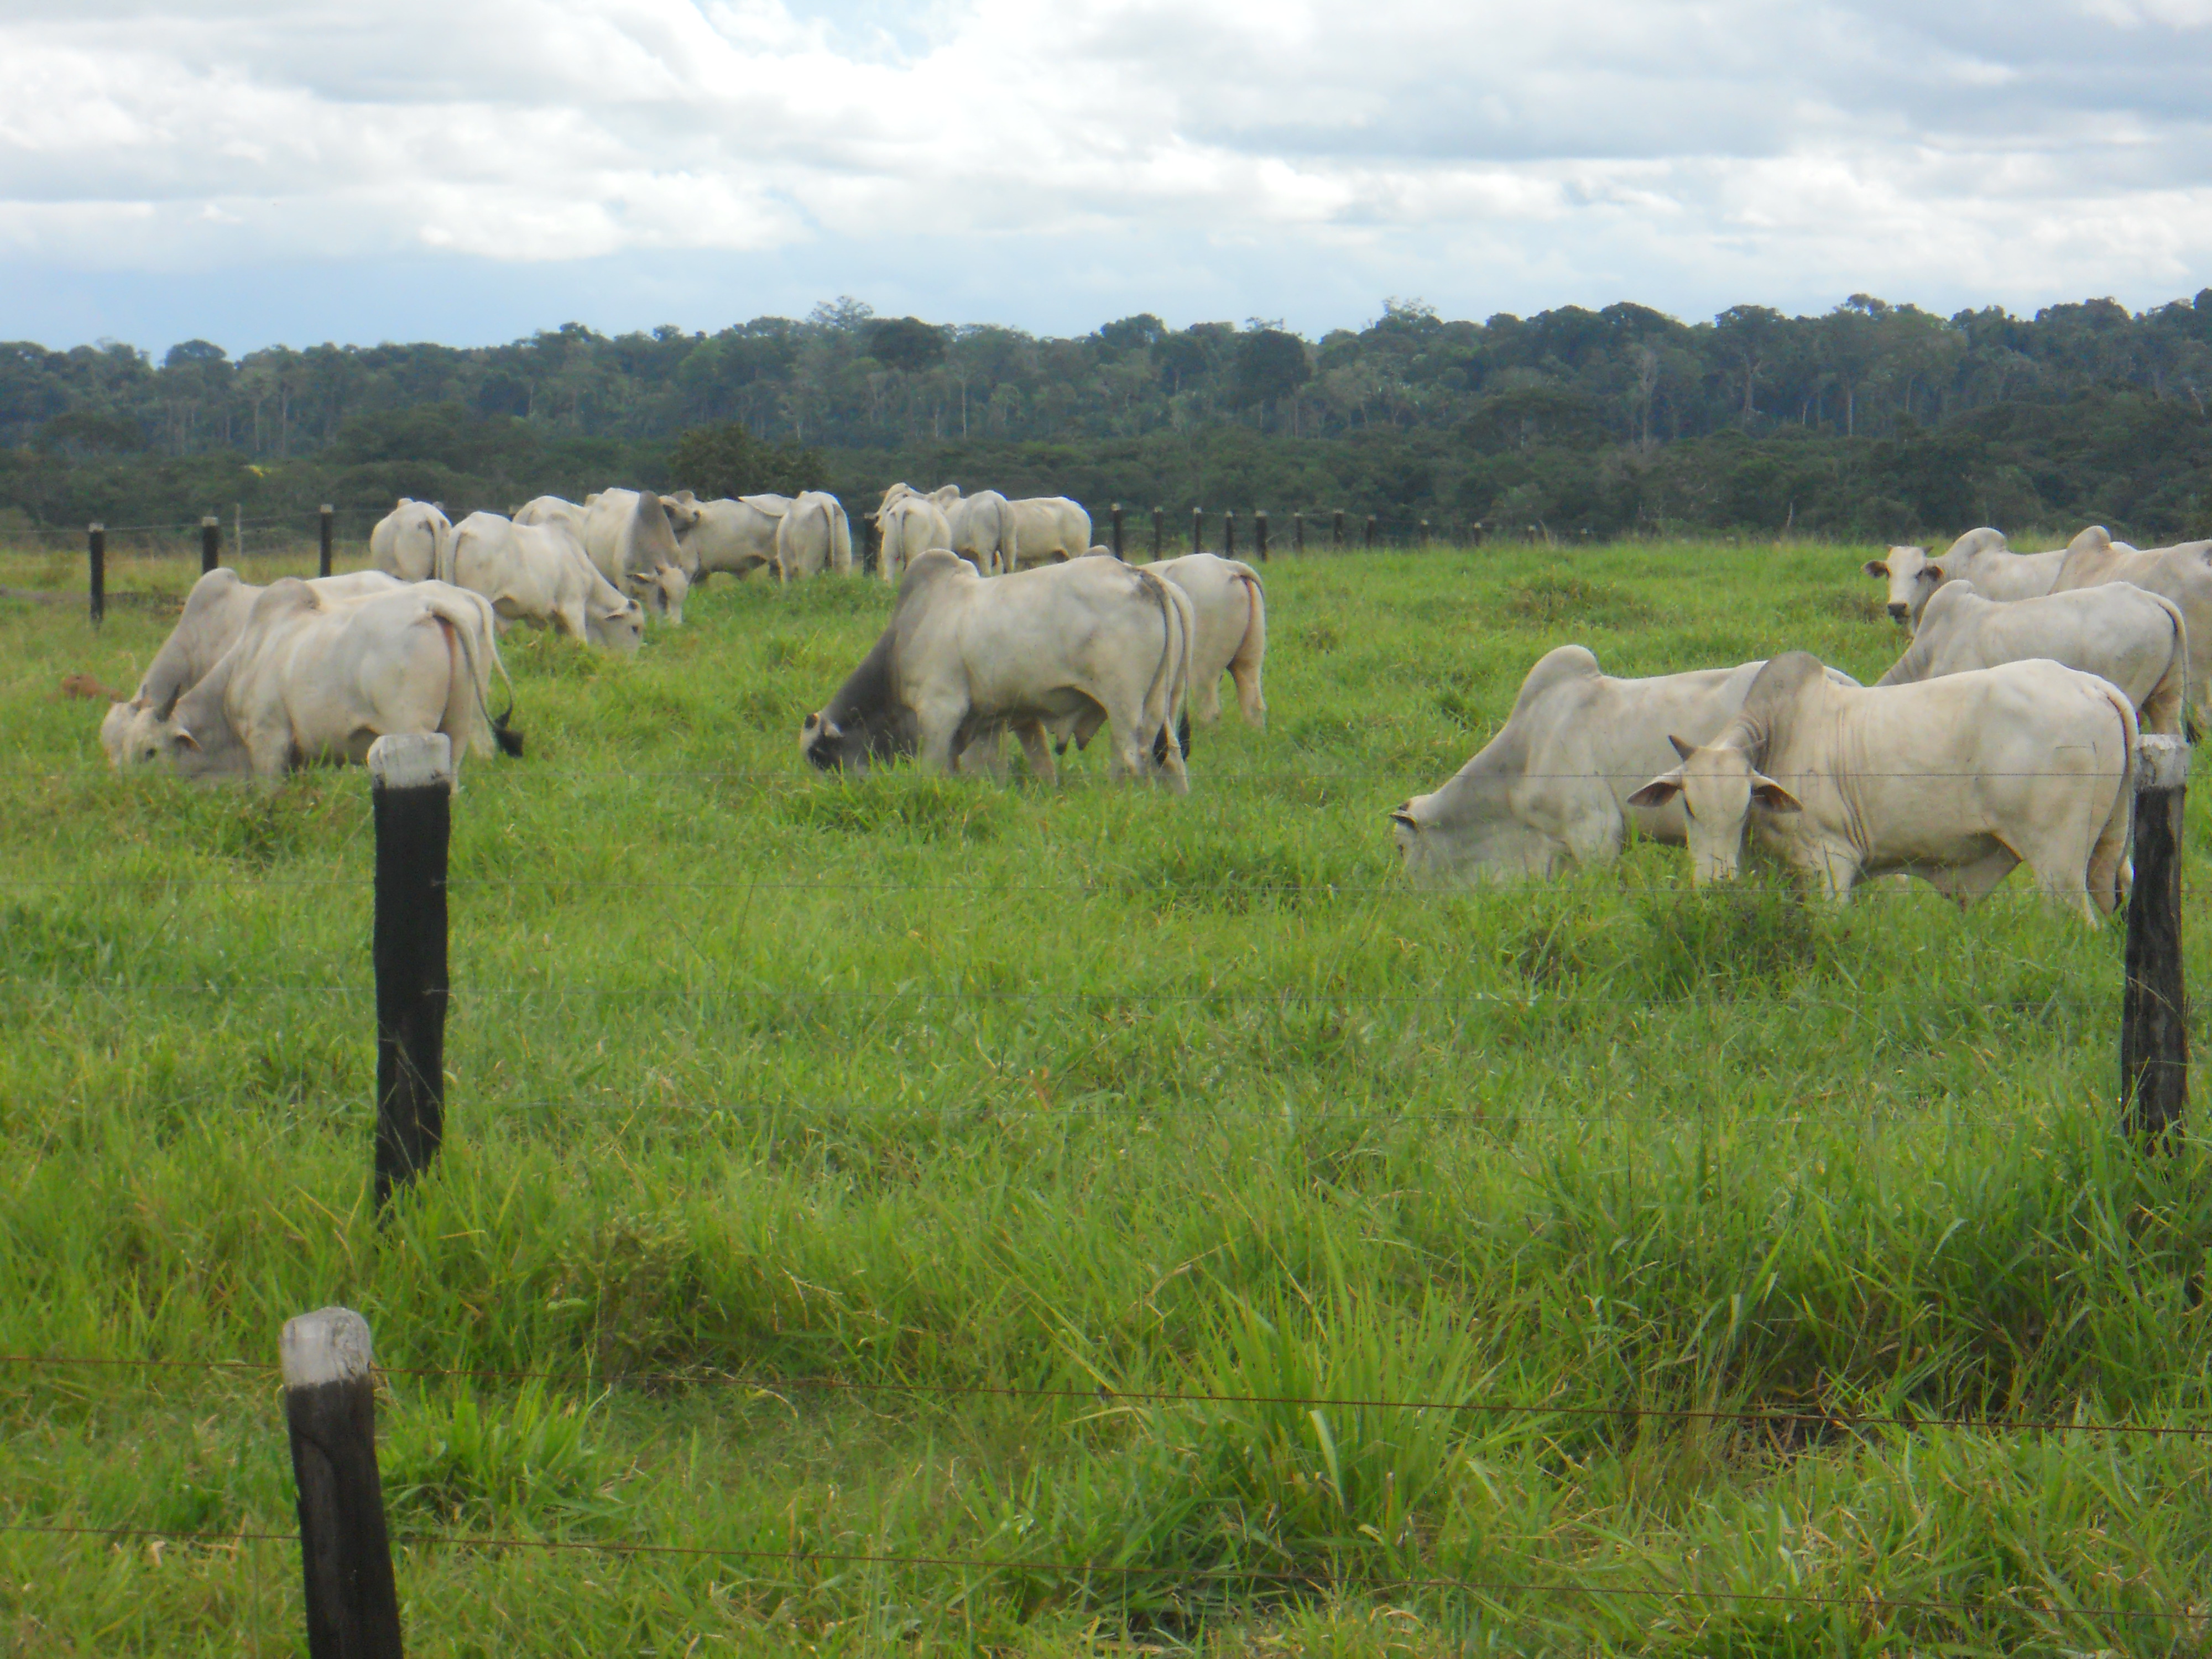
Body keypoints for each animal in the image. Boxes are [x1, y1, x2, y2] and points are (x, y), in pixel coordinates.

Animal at [799, 550, 1191, 790]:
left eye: (820, 756)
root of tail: (1139, 575)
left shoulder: (940, 710)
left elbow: (933, 769)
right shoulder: (988, 722)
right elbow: (992, 771)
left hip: (1123, 703)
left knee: (1130, 758)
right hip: (1166, 701)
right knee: (1169, 754)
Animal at [1626, 651, 2134, 920]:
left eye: (1743, 805)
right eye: (1689, 807)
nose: (1716, 884)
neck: (1781, 735)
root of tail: (2091, 685)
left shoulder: (1832, 863)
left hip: (2059, 866)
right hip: (2106, 850)